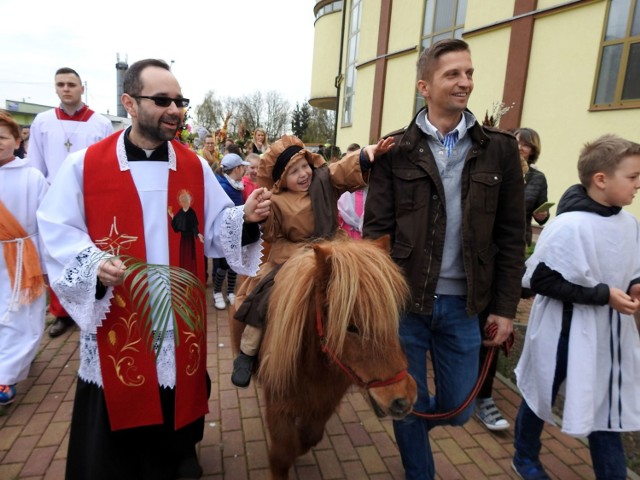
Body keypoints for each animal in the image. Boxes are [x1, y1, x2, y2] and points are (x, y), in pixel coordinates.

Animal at [258, 237, 418, 480]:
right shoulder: (279, 408)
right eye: (351, 327)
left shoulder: (325, 404)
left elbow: (308, 438)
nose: (403, 399)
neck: (311, 369)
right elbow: (282, 455)